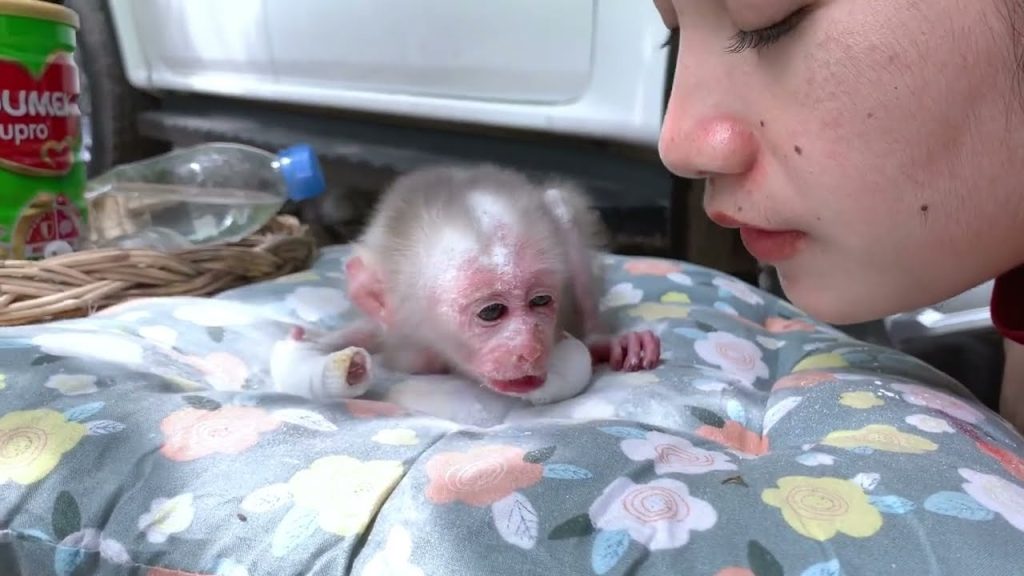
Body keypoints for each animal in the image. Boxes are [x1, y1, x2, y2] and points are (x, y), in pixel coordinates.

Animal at [269, 163, 661, 404]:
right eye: (492, 312)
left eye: (540, 302)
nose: (530, 349)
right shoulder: (401, 337)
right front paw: (335, 361)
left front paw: (600, 342)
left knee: (561, 209)